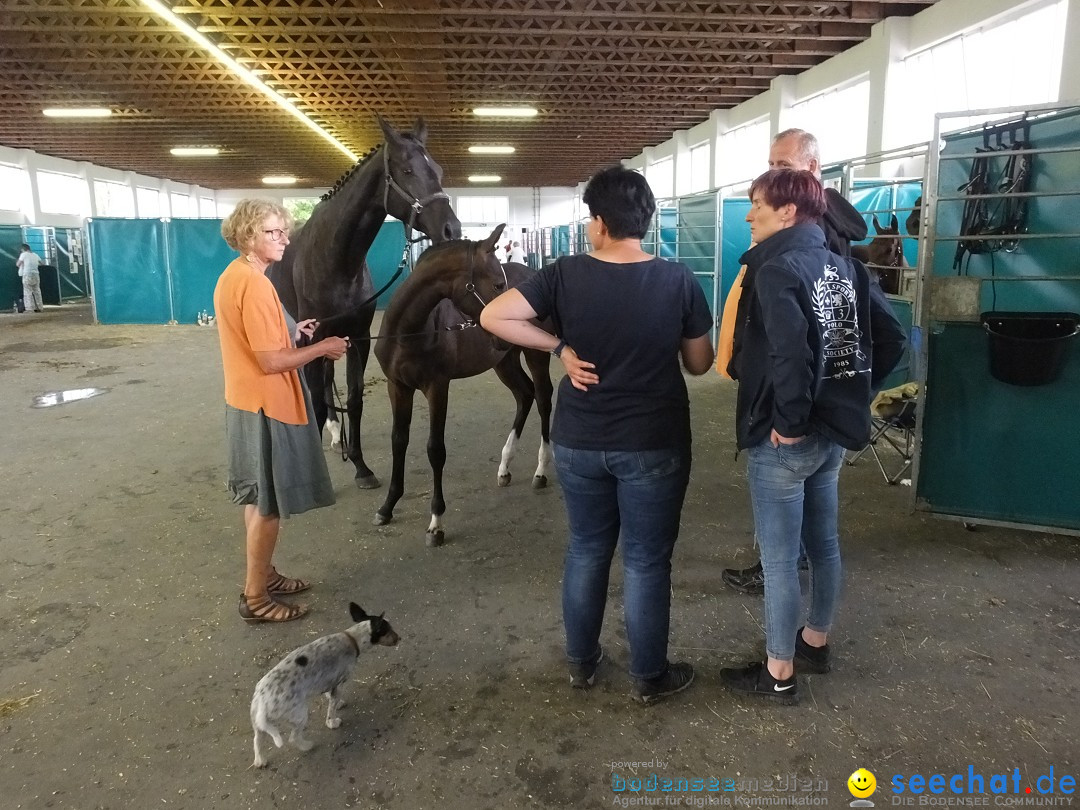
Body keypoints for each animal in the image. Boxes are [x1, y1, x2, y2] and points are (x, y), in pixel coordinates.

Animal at [250, 604, 399, 768]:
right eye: (388, 629)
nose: (399, 638)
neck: (352, 638)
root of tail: (263, 699)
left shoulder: (329, 681)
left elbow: (329, 695)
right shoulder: (339, 683)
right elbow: (331, 708)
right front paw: (332, 722)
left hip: (258, 723)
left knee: (257, 740)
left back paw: (260, 760)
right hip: (300, 715)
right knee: (293, 738)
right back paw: (307, 746)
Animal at [268, 115, 460, 488]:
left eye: (438, 170)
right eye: (406, 170)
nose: (451, 229)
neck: (337, 261)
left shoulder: (357, 338)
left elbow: (354, 399)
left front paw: (360, 465)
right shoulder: (313, 336)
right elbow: (314, 397)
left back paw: (334, 432)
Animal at [373, 225, 557, 548]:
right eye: (497, 284)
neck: (409, 333)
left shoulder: (437, 387)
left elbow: (435, 449)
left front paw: (436, 523)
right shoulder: (397, 387)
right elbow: (398, 441)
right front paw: (387, 506)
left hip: (535, 353)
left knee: (543, 398)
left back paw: (540, 470)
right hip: (504, 361)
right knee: (525, 394)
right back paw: (505, 466)